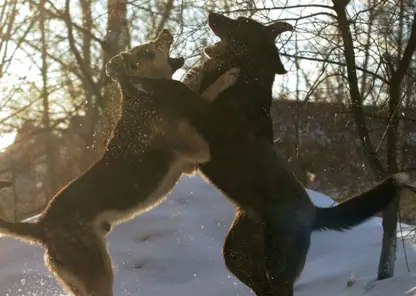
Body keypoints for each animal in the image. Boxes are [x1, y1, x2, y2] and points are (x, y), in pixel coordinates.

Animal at [0, 29, 224, 296]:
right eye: (148, 49)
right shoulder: (198, 149)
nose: (165, 32)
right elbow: (207, 91)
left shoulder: (189, 164)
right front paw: (229, 74)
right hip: (98, 272)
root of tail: (41, 227)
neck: (139, 95)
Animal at [180, 13, 412, 296]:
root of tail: (313, 212)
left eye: (241, 21)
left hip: (278, 262)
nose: (211, 14)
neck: (247, 75)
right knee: (260, 284)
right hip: (238, 255)